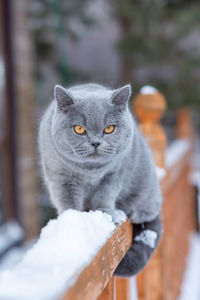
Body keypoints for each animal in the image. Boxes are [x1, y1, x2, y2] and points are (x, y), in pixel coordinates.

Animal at [38, 83, 162, 276]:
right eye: (79, 129)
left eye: (109, 129)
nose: (95, 142)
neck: (91, 172)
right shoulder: (61, 178)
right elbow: (67, 201)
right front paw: (73, 220)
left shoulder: (115, 174)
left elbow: (104, 196)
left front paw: (106, 213)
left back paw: (133, 212)